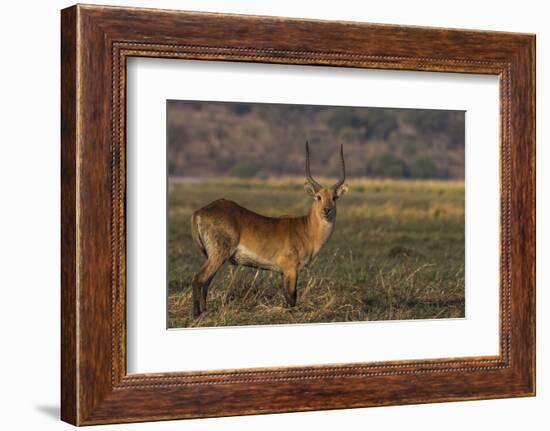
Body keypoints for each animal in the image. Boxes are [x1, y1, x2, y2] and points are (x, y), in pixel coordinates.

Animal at [192, 142, 352, 318]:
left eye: (334, 198)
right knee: (198, 279)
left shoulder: (283, 272)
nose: (327, 210)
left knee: (205, 283)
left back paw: (205, 312)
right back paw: (196, 315)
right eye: (318, 197)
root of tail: (200, 211)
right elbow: (291, 299)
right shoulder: (291, 269)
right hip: (218, 255)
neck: (306, 229)